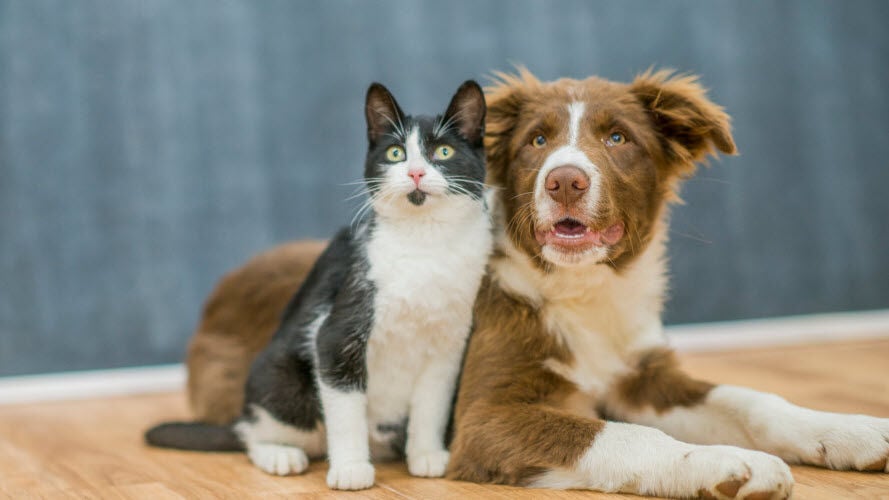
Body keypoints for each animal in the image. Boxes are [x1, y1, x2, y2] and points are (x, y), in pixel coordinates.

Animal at [147, 80, 492, 490]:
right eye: (395, 153)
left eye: (443, 151)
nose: (415, 174)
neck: (425, 243)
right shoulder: (336, 332)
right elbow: (345, 409)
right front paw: (350, 468)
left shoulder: (448, 345)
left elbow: (432, 404)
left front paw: (426, 454)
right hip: (283, 381)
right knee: (253, 433)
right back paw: (279, 454)